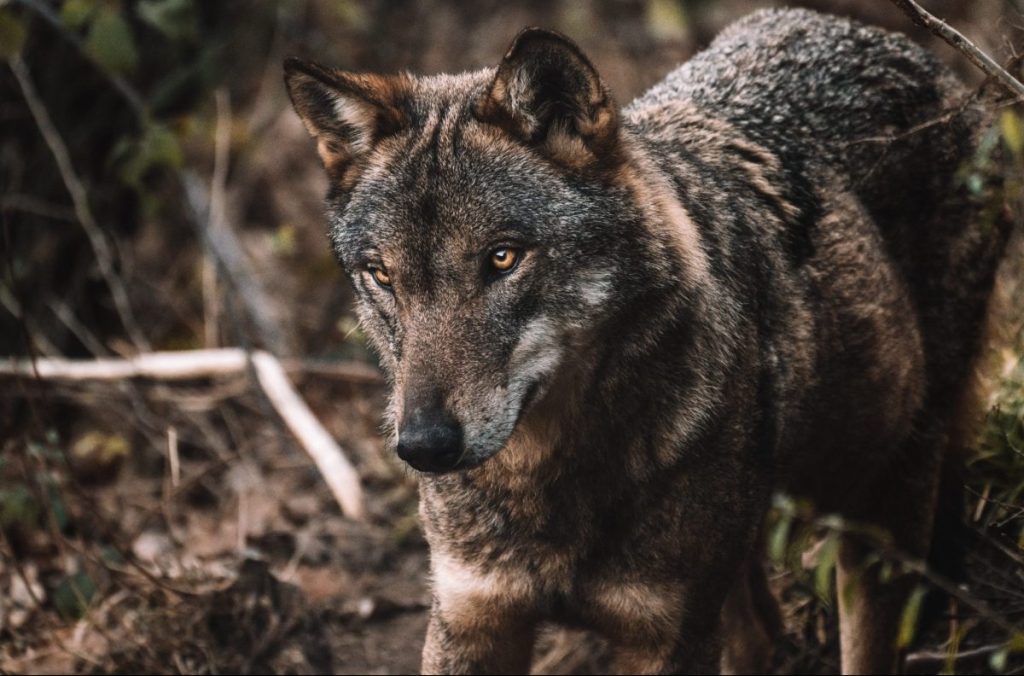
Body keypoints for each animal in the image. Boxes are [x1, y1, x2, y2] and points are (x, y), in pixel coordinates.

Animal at [284, 7, 1011, 671]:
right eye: (382, 274)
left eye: (502, 258)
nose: (425, 447)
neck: (548, 481)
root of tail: (891, 41)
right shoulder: (472, 619)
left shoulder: (667, 635)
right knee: (758, 633)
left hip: (883, 506)